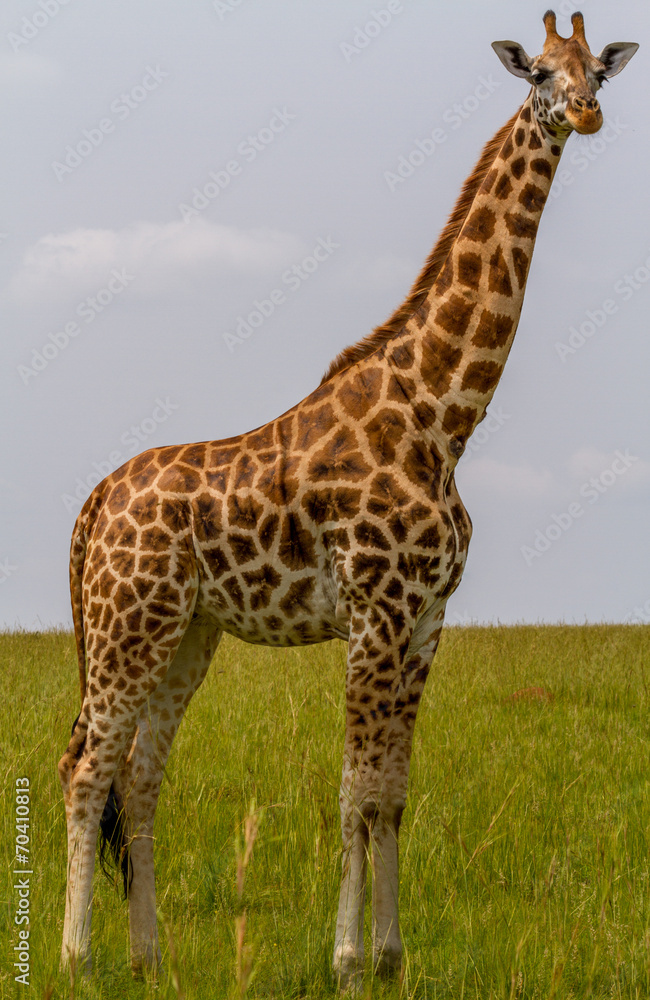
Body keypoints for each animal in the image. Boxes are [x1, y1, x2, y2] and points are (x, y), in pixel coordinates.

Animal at [58, 11, 637, 991]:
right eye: (539, 74)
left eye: (599, 68)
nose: (587, 113)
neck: (442, 415)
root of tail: (92, 505)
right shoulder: (375, 611)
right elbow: (353, 795)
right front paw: (346, 961)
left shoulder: (428, 618)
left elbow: (393, 795)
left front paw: (395, 957)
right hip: (123, 624)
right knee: (84, 766)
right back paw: (74, 959)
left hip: (186, 634)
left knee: (138, 774)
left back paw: (150, 959)